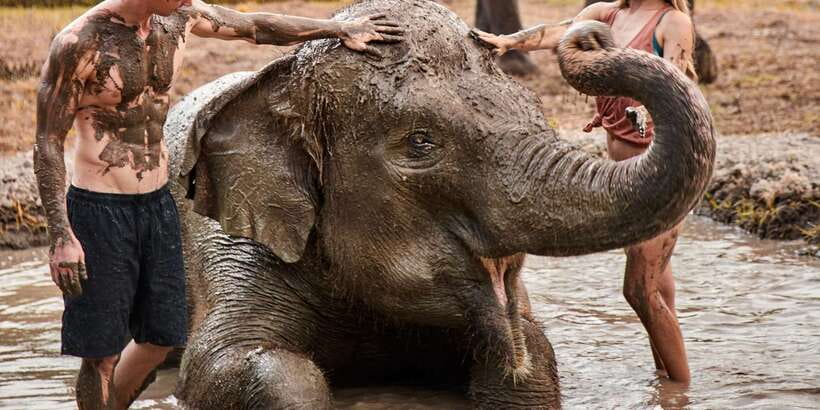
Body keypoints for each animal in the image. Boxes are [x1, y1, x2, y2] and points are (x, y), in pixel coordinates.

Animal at [163, 0, 714, 408]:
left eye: (535, 109)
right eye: (420, 143)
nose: (590, 35)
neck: (277, 81)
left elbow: (531, 353)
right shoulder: (228, 243)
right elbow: (232, 365)